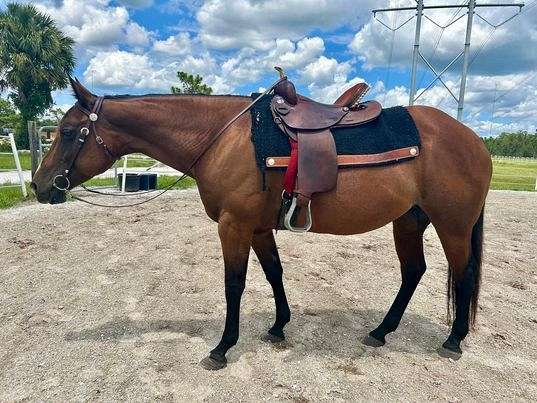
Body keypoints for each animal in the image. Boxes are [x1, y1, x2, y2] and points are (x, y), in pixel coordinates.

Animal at [30, 77, 490, 370]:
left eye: (68, 132)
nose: (38, 184)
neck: (222, 138)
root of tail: (472, 139)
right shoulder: (258, 228)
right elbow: (273, 273)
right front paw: (278, 326)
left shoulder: (233, 226)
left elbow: (234, 284)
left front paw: (222, 347)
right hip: (409, 221)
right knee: (413, 271)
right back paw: (380, 331)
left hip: (452, 225)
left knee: (463, 273)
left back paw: (453, 340)